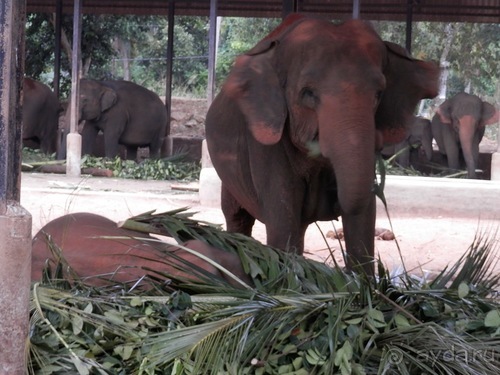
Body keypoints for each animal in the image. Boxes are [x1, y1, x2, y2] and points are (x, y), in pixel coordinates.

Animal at [203, 14, 438, 276]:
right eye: (308, 93)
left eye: (378, 94)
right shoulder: (265, 140)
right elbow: (282, 221)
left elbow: (362, 222)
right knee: (238, 217)